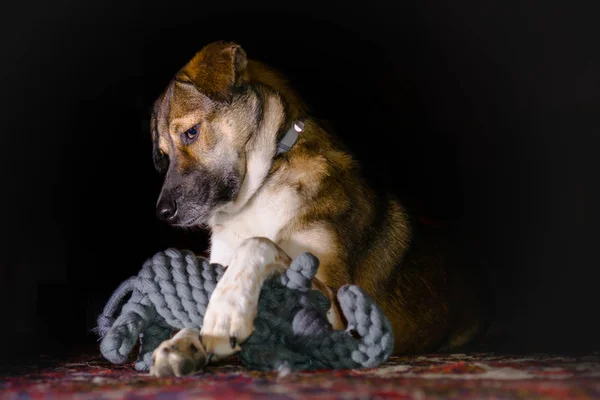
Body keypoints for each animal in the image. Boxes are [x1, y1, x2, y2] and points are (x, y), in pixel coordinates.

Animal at [148, 41, 490, 378]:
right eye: (163, 154)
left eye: (191, 132)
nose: (162, 213)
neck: (259, 189)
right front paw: (181, 343)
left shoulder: (344, 320)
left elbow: (259, 243)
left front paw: (226, 310)